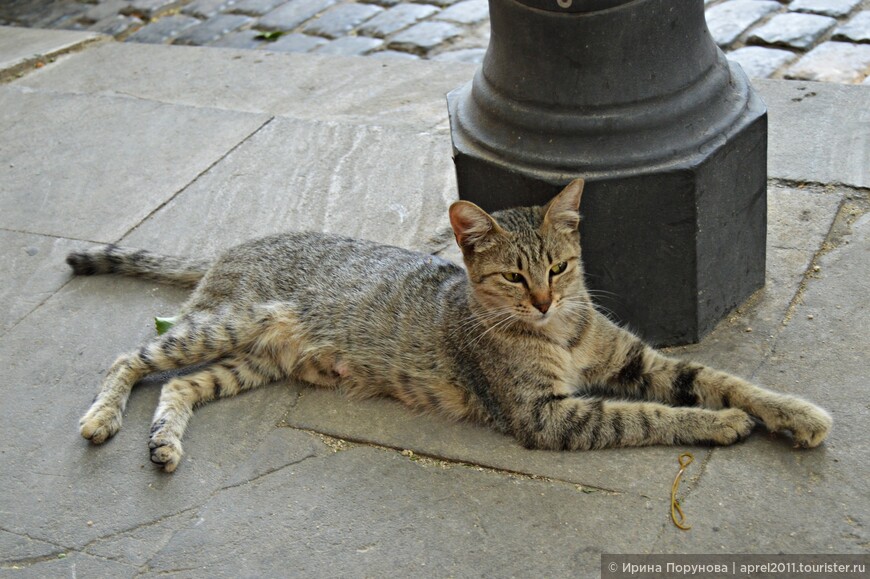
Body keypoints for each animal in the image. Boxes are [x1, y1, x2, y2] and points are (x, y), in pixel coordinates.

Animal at [66, 179, 832, 474]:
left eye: (560, 266)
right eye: (513, 278)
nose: (545, 302)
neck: (561, 332)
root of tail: (233, 246)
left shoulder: (633, 358)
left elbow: (721, 378)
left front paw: (792, 413)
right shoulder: (547, 414)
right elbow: (649, 416)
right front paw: (721, 425)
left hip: (253, 361)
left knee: (179, 388)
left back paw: (164, 442)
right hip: (222, 325)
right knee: (129, 358)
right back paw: (103, 417)